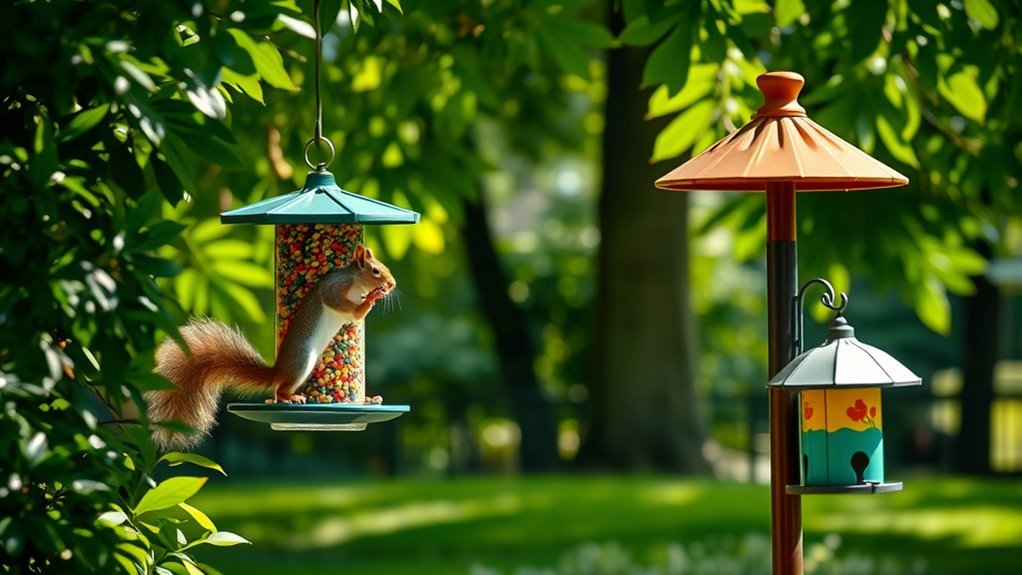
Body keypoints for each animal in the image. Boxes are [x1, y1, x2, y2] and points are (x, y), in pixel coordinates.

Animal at [146, 245, 395, 450]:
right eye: (376, 271)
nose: (392, 285)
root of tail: (277, 371)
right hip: (302, 360)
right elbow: (346, 308)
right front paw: (370, 299)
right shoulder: (334, 289)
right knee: (279, 390)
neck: (356, 281)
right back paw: (288, 398)